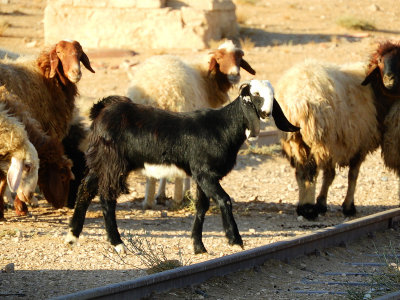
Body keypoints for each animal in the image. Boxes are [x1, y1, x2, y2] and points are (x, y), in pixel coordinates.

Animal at [65, 79, 296, 253]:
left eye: (273, 96)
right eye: (255, 94)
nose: (266, 113)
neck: (223, 127)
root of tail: (102, 109)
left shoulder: (202, 176)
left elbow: (202, 206)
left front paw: (198, 246)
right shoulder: (205, 173)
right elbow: (224, 199)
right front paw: (234, 240)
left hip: (100, 161)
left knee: (85, 189)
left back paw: (72, 236)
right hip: (112, 161)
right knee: (107, 197)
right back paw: (117, 244)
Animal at [126, 39, 256, 209]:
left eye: (239, 58)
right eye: (219, 59)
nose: (234, 75)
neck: (205, 79)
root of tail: (159, 92)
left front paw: (161, 195)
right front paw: (186, 194)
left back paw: (148, 200)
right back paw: (177, 199)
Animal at [276, 39, 400, 219]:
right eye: (380, 61)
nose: (390, 79)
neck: (376, 90)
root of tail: (296, 102)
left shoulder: (337, 144)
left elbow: (330, 175)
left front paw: (322, 203)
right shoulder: (357, 144)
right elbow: (352, 176)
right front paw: (348, 207)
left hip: (295, 139)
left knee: (300, 171)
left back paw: (302, 207)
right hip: (316, 137)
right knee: (310, 172)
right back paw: (308, 209)